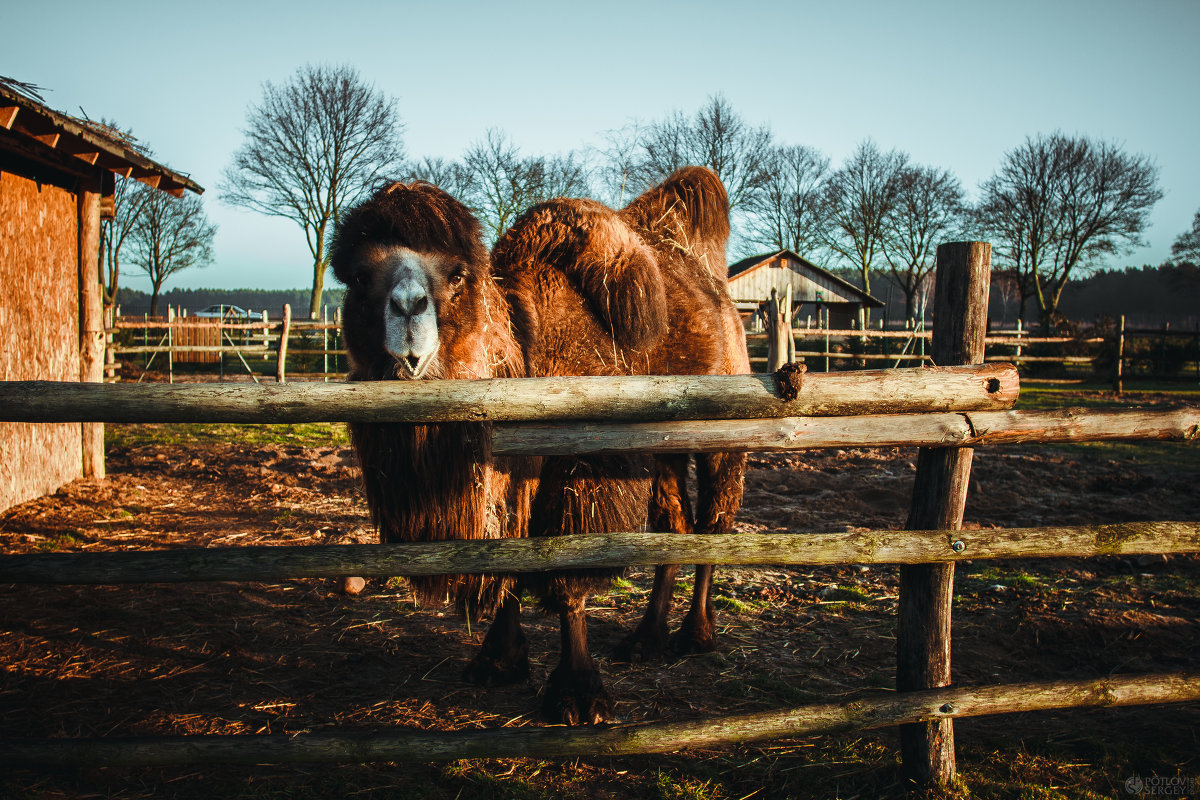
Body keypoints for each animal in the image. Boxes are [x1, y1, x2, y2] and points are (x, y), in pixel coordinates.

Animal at [328, 169, 739, 724]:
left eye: (458, 275)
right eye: (358, 279)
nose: (409, 311)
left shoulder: (582, 469)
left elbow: (568, 578)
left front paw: (579, 693)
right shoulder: (510, 478)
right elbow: (507, 561)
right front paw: (498, 660)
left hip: (723, 430)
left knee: (714, 523)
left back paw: (697, 635)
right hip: (663, 448)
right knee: (674, 525)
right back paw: (644, 641)